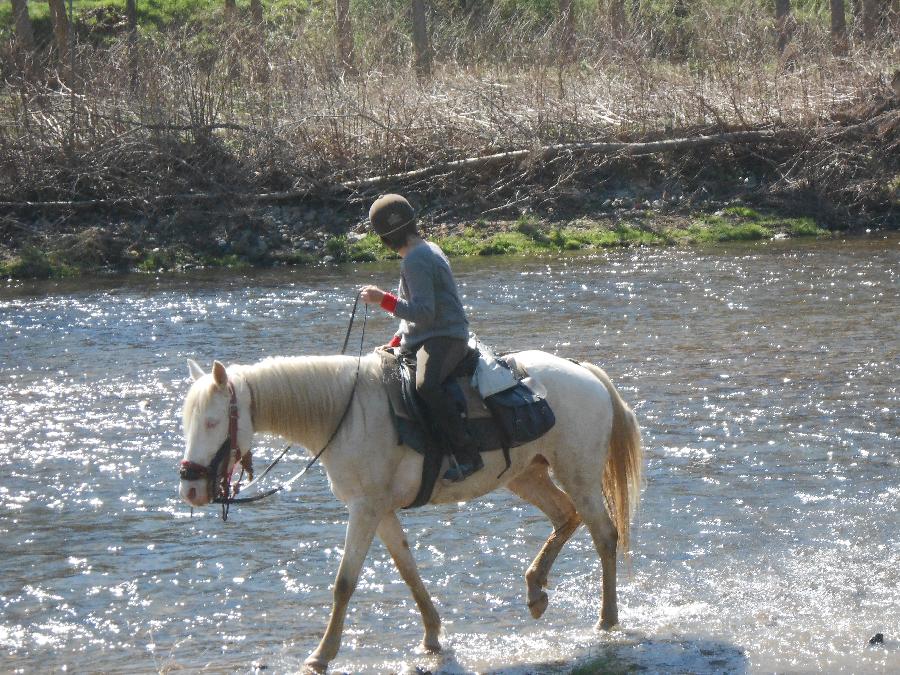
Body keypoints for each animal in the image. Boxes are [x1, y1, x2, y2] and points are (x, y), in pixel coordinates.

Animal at [178, 352, 640, 672]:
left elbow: (344, 583)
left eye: (213, 422)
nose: (191, 488)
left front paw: (322, 654)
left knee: (603, 534)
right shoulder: (379, 511)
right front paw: (432, 635)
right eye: (187, 422)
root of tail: (586, 373)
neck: (344, 416)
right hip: (528, 475)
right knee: (566, 517)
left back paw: (606, 619)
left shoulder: (364, 510)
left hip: (578, 476)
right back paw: (536, 591)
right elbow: (408, 569)